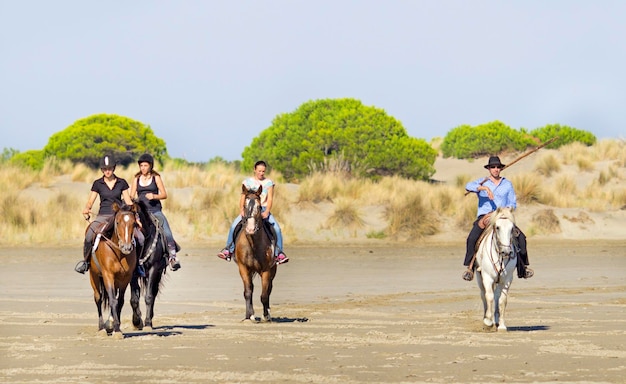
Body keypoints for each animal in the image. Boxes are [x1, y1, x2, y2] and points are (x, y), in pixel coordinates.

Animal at [86, 202, 136, 338]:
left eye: (134, 223)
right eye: (117, 222)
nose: (127, 247)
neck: (119, 253)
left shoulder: (125, 278)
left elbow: (120, 301)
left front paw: (115, 327)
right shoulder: (108, 275)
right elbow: (113, 300)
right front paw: (116, 329)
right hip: (94, 276)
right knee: (98, 298)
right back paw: (102, 328)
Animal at [129, 200, 169, 328]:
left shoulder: (154, 269)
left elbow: (149, 296)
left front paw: (147, 322)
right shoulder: (133, 273)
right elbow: (134, 299)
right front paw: (137, 322)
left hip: (158, 273)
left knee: (153, 293)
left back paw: (150, 319)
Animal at [234, 184, 276, 322]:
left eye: (259, 207)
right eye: (244, 206)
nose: (250, 229)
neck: (253, 244)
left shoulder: (267, 270)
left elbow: (264, 294)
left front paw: (266, 315)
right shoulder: (243, 268)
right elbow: (248, 292)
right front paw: (249, 315)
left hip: (273, 270)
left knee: (269, 290)